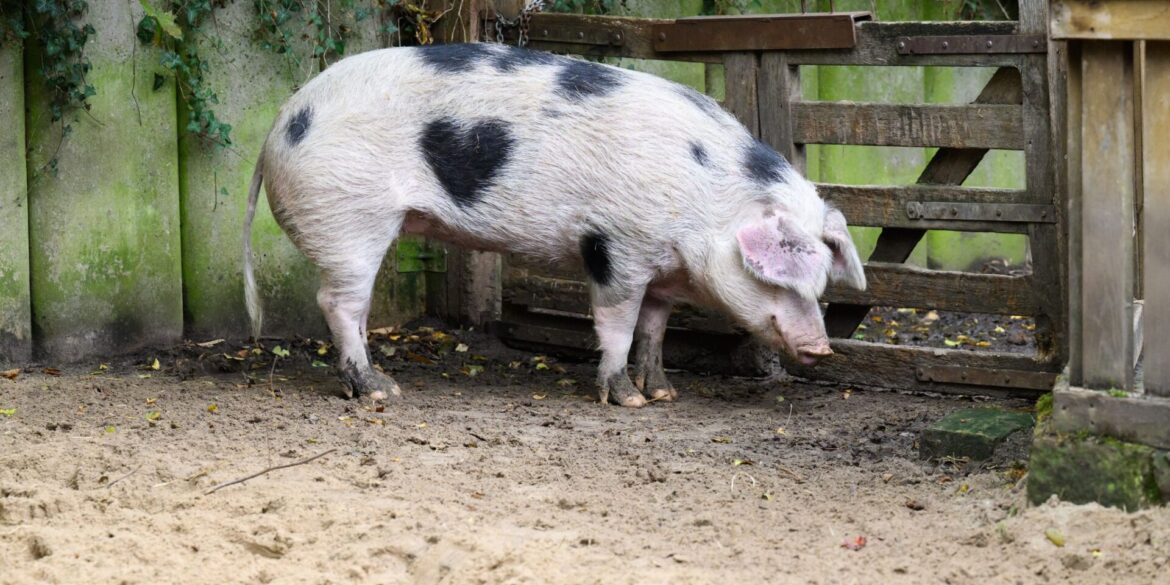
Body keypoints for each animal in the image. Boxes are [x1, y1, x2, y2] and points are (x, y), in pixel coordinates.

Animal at [243, 42, 866, 408]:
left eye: (820, 284)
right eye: (777, 279)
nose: (822, 347)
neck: (706, 198)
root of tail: (277, 127)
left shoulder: (662, 270)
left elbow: (654, 329)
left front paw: (664, 394)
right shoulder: (616, 246)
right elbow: (617, 325)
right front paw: (628, 401)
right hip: (349, 217)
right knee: (338, 303)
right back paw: (379, 392)